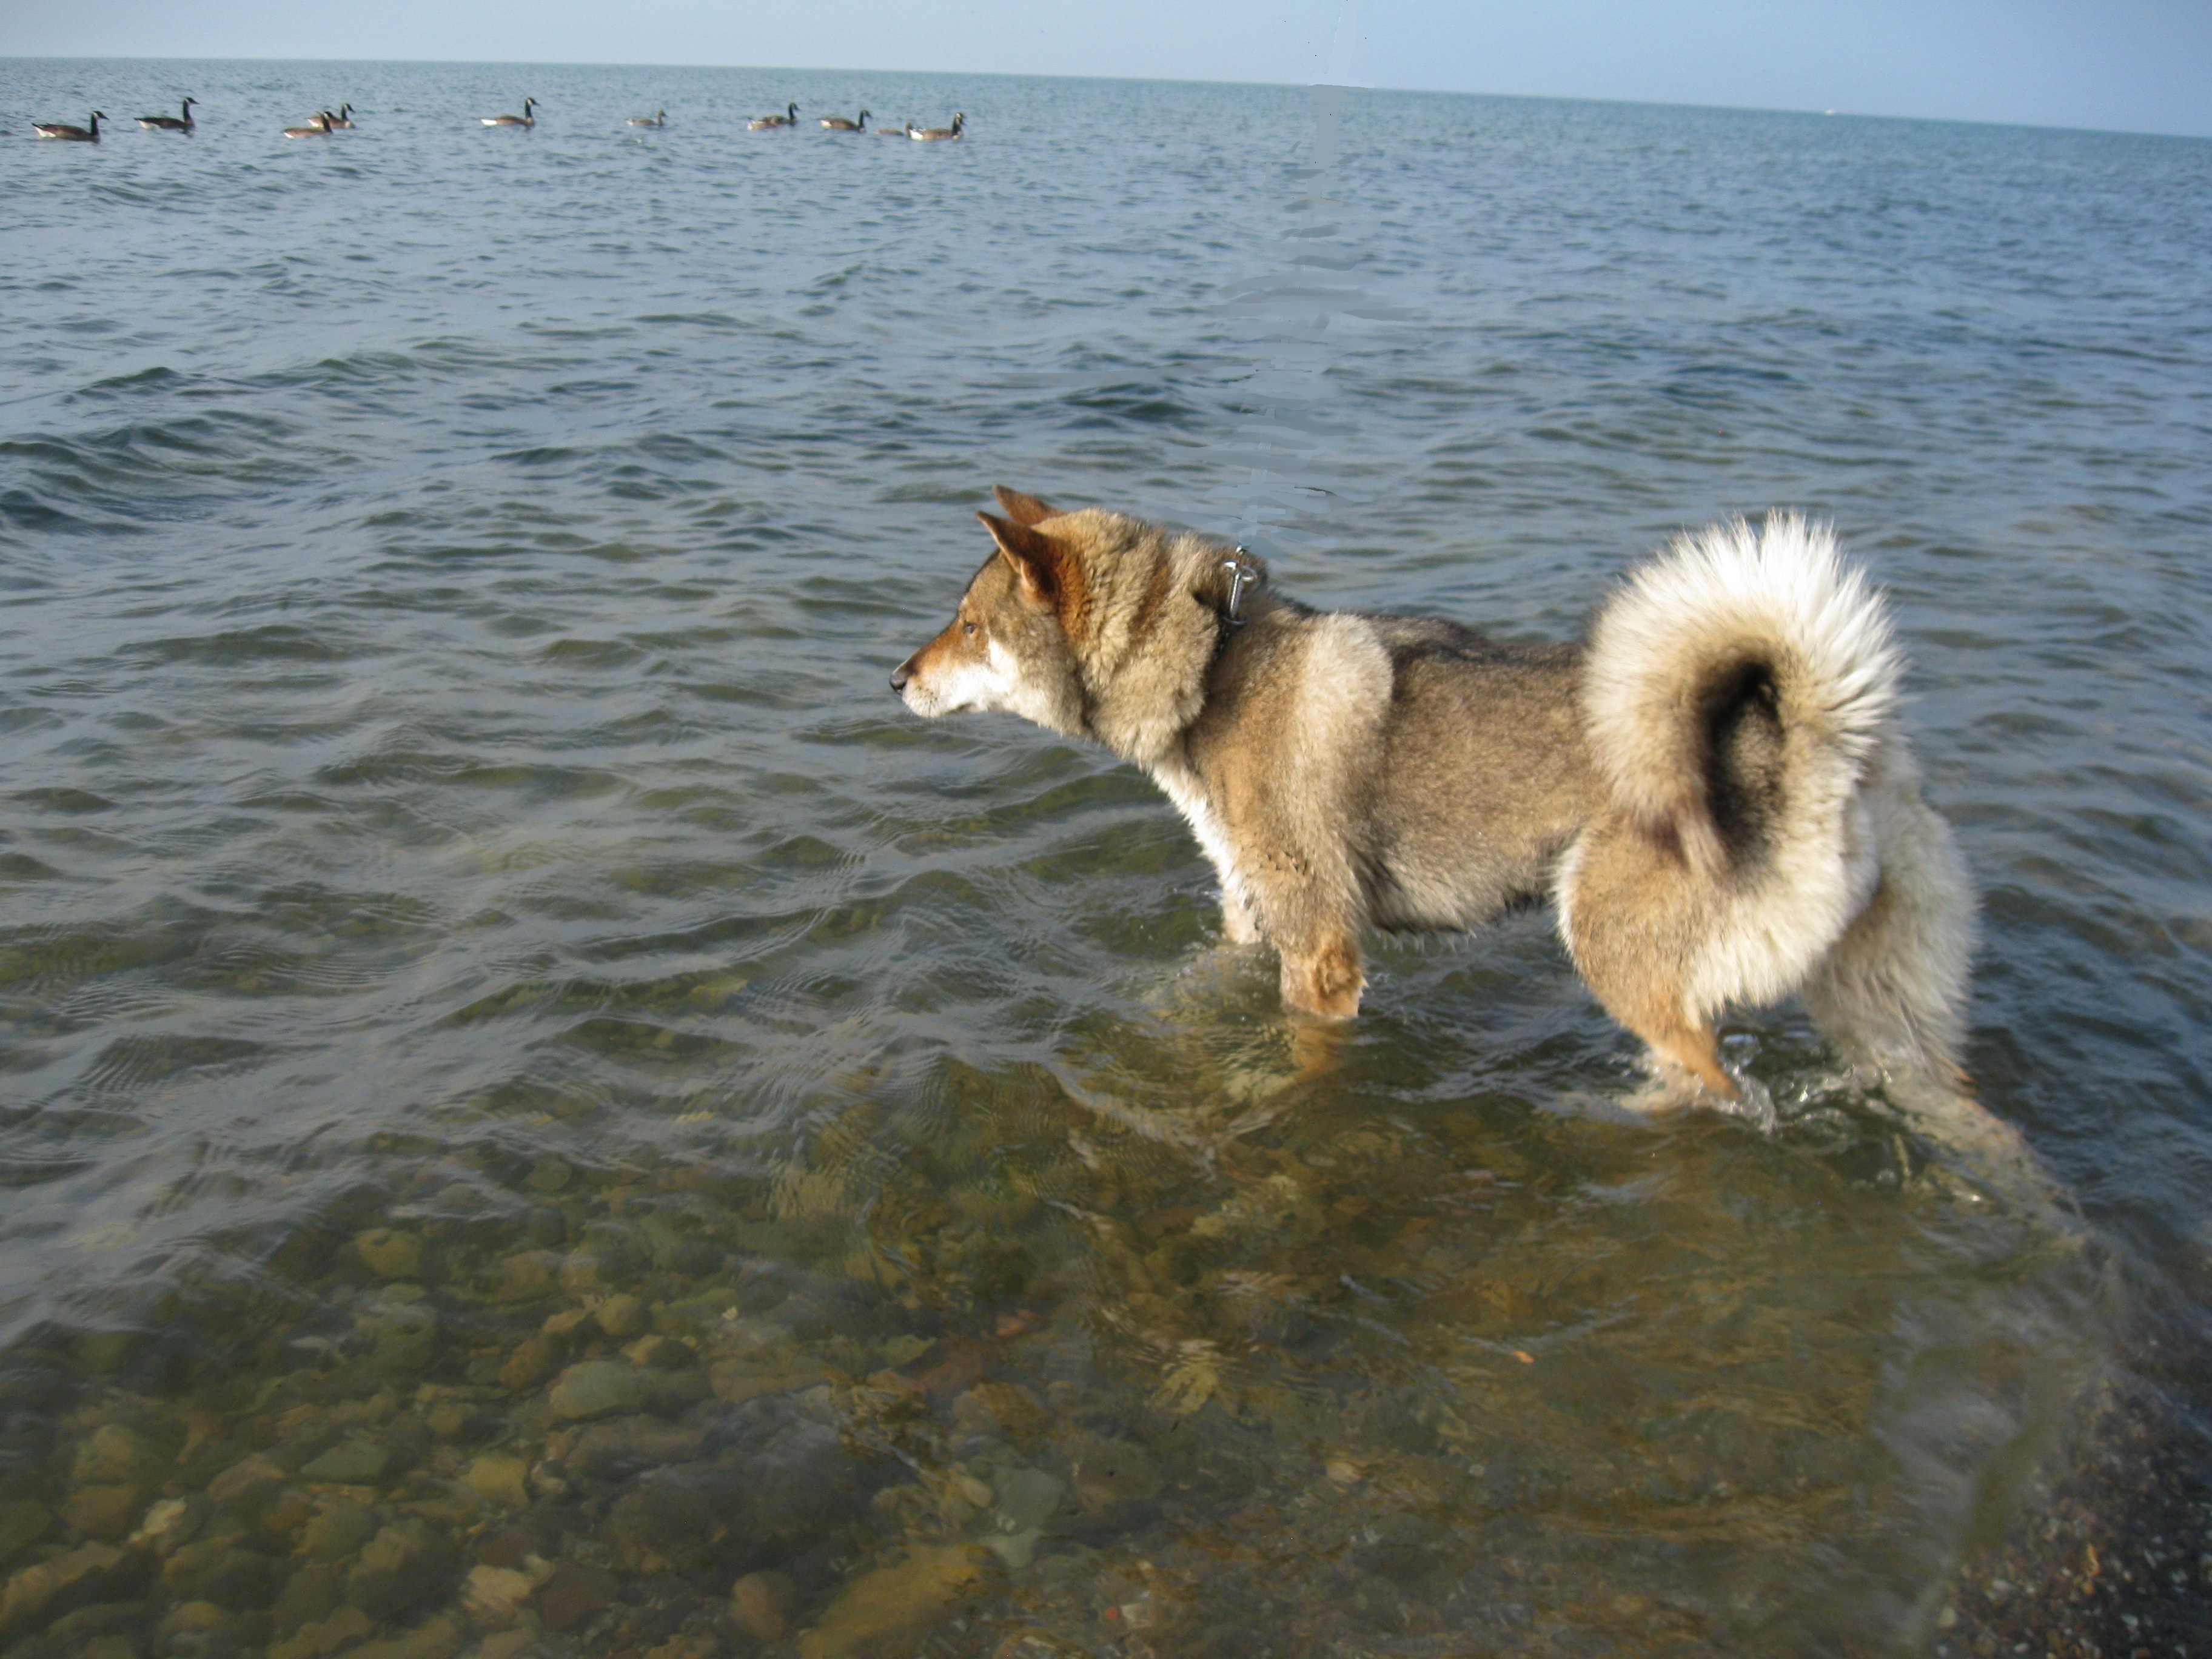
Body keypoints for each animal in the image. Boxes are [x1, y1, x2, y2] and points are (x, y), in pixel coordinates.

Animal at [889, 486, 1982, 1110]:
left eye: (968, 624)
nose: (894, 679)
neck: (1211, 669)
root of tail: (1826, 744)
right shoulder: (1249, 922)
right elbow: (1183, 990)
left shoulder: (1321, 953)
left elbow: (1305, 1067)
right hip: (1886, 1019)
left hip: (1613, 952)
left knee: (1709, 1084)